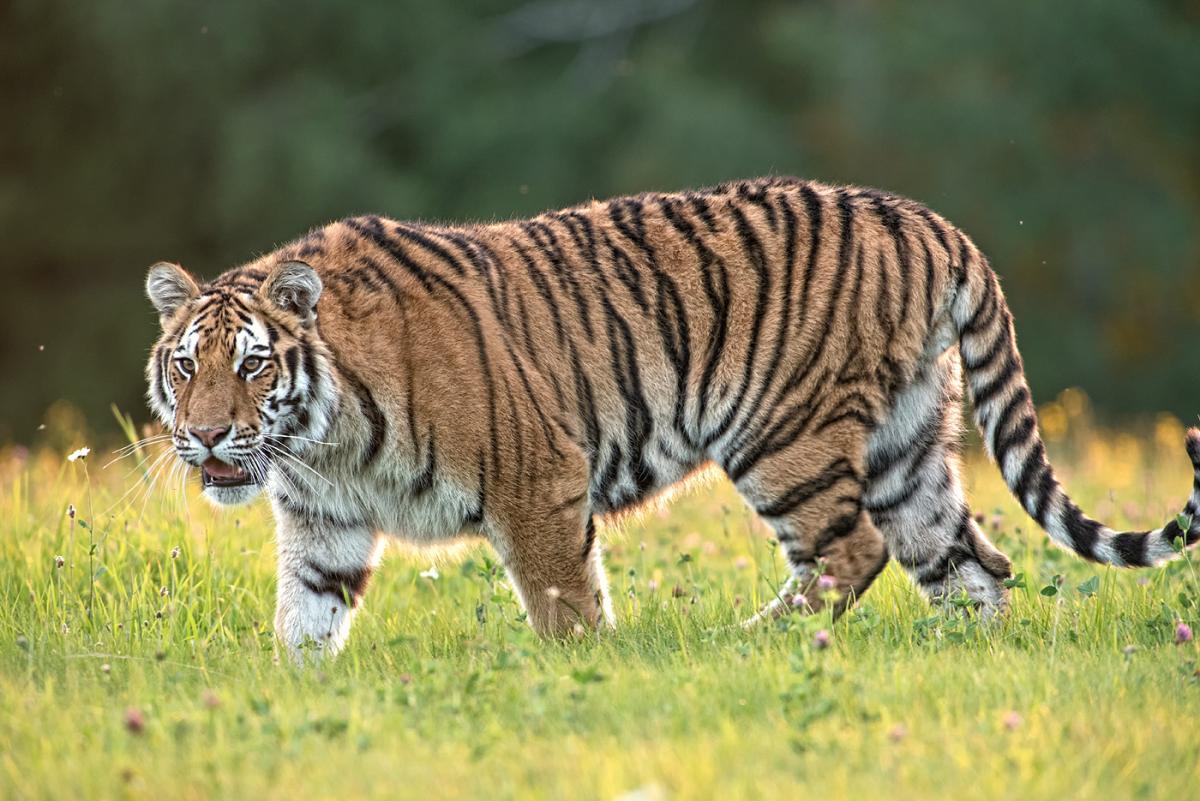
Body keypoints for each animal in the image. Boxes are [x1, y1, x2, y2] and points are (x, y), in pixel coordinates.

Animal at [144, 176, 1200, 659]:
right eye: (187, 366)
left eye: (251, 365)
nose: (206, 434)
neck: (321, 437)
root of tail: (928, 220)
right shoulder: (323, 522)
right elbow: (304, 622)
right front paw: (291, 693)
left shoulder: (537, 481)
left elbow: (564, 602)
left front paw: (583, 672)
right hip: (910, 448)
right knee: (972, 562)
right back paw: (966, 660)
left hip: (784, 437)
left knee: (850, 552)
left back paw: (744, 641)